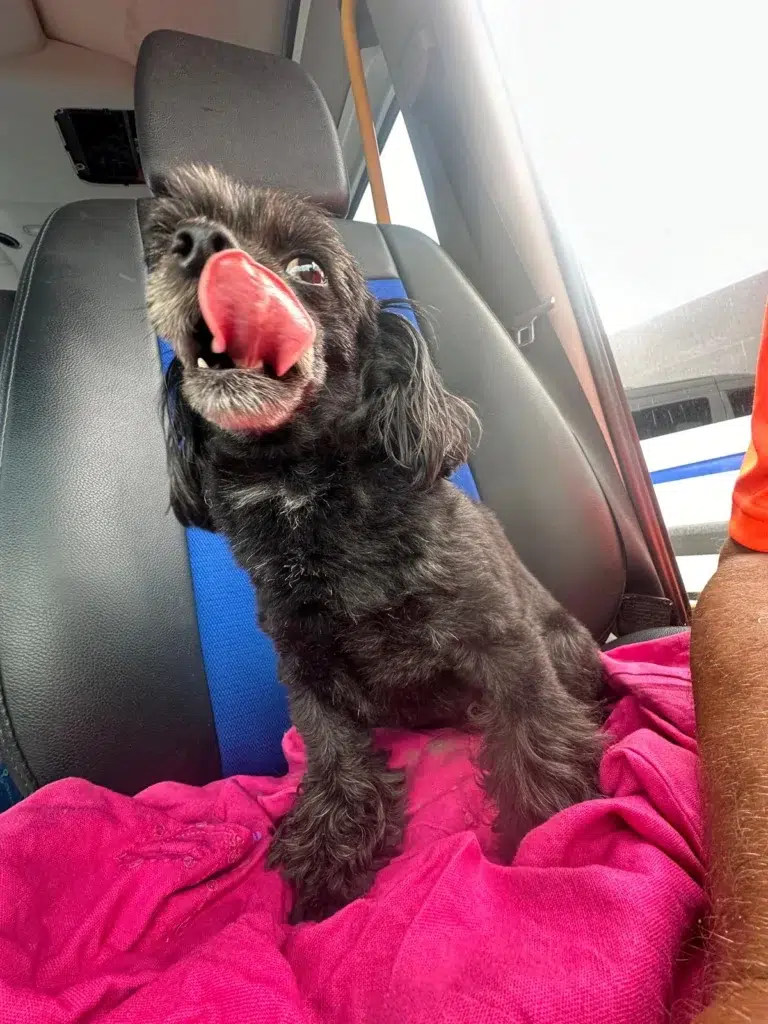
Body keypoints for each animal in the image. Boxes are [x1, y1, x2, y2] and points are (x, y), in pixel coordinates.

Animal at [144, 165, 603, 922]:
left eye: (308, 267)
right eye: (168, 241)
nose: (197, 244)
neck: (309, 496)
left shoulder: (503, 639)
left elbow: (533, 723)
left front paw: (548, 820)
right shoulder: (309, 671)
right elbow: (333, 756)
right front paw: (332, 853)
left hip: (565, 642)